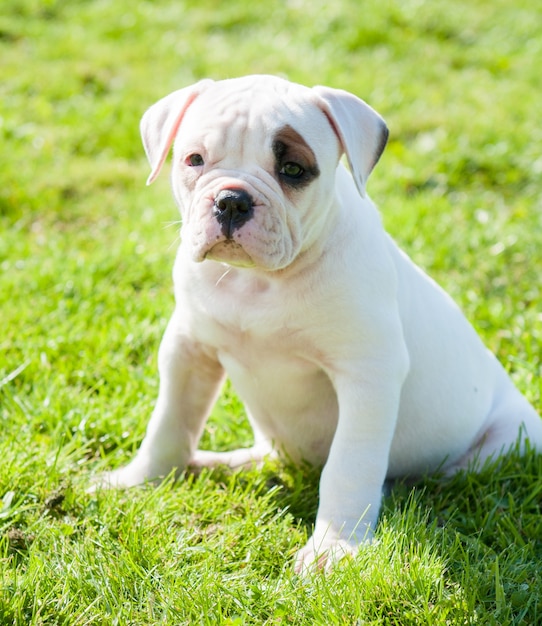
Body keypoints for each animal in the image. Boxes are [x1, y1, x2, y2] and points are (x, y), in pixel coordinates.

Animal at [98, 74, 542, 572]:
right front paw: (138, 481)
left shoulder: (367, 375)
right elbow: (170, 423)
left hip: (510, 439)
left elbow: (349, 466)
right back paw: (220, 462)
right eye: (194, 159)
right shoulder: (188, 351)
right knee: (270, 454)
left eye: (293, 169)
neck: (260, 282)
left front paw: (334, 547)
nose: (231, 200)